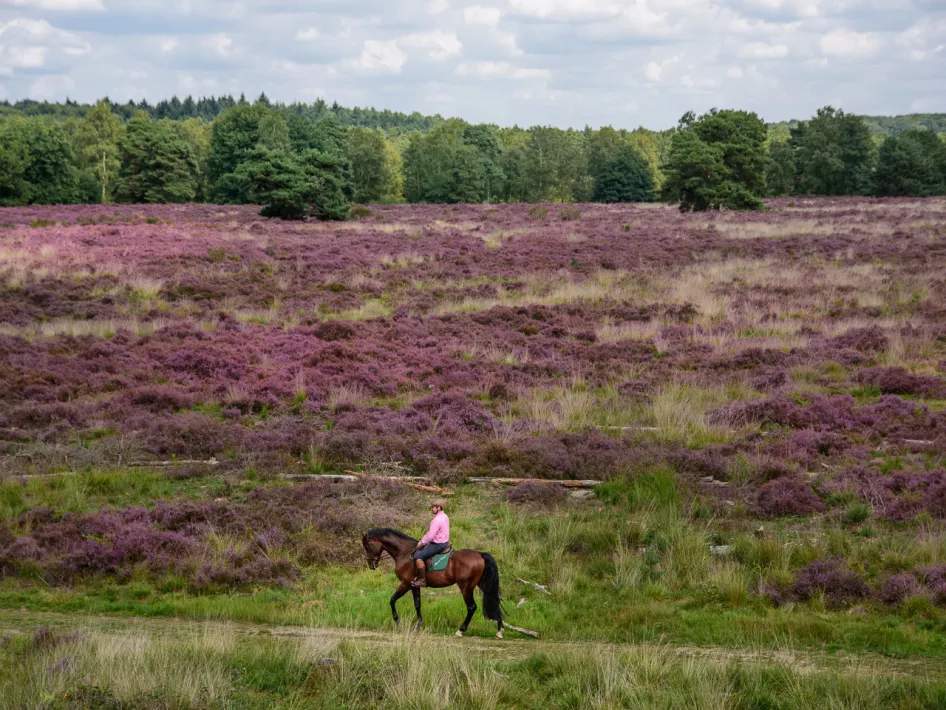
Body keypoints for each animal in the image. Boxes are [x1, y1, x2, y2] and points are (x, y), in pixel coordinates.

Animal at [362, 528, 504, 639]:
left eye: (367, 546)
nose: (371, 565)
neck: (404, 553)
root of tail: (480, 554)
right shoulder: (414, 585)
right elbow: (417, 604)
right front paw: (417, 626)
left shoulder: (406, 584)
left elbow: (392, 600)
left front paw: (398, 622)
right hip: (482, 584)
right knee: (494, 600)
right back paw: (499, 630)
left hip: (465, 587)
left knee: (471, 607)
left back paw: (460, 630)